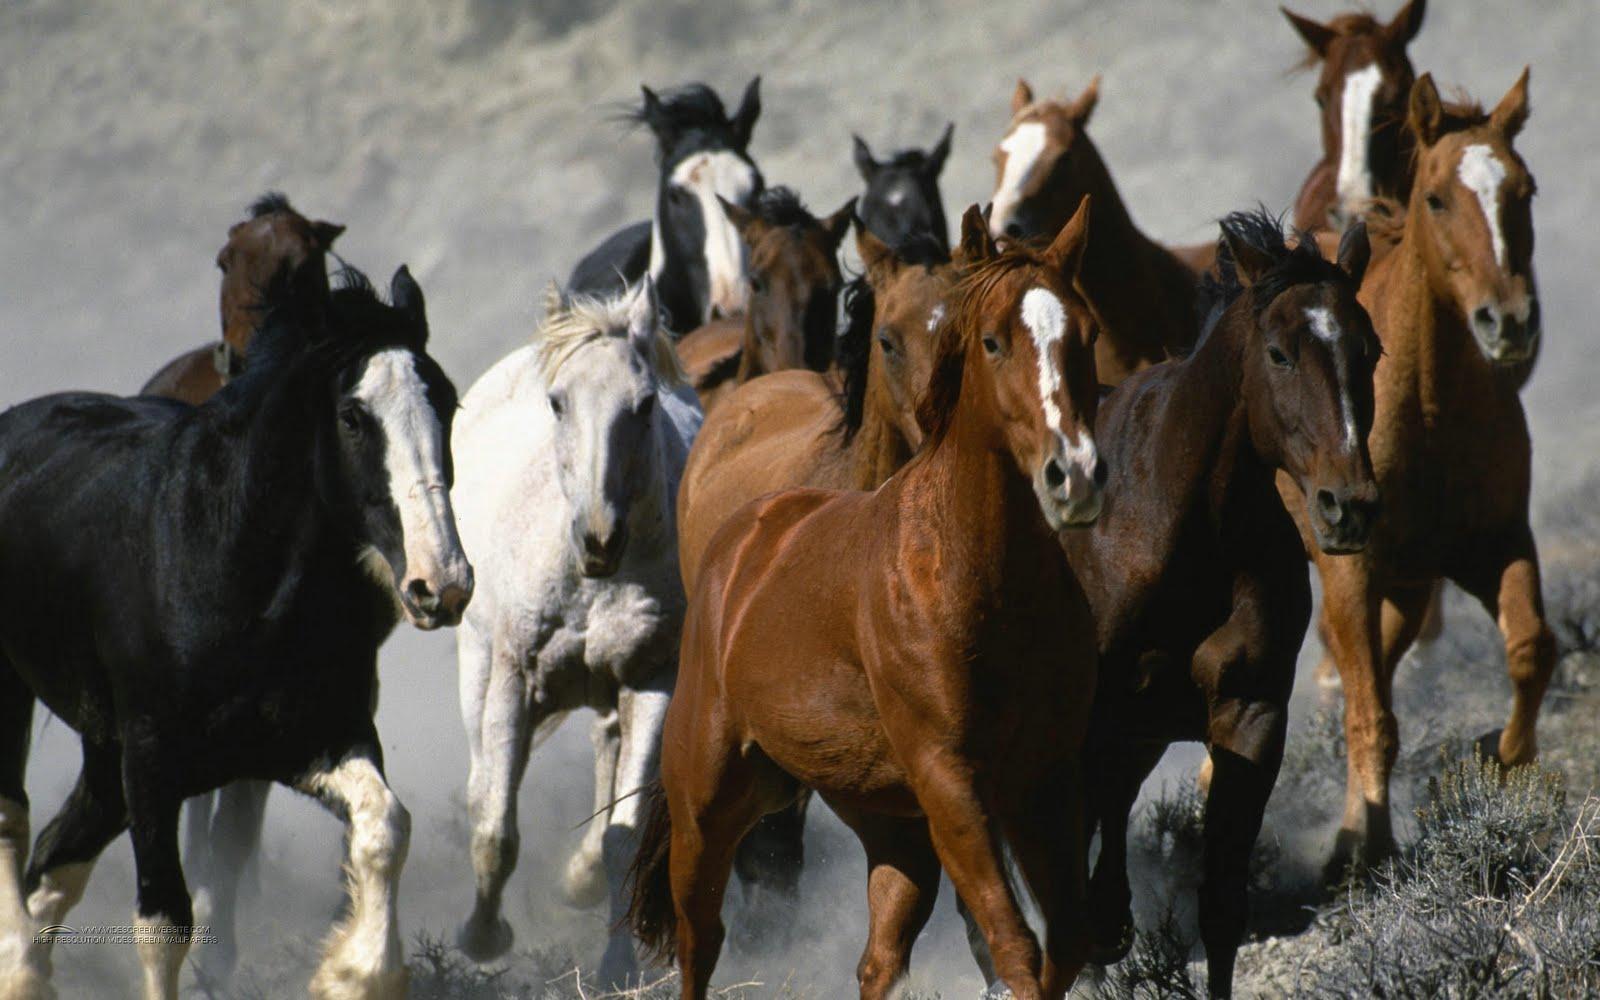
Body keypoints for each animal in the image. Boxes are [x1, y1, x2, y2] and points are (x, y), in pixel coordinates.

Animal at [0, 266, 471, 1000]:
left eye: (445, 403)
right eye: (352, 416)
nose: (441, 584)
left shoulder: (310, 738)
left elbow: (384, 825)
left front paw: (351, 971)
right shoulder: (153, 760)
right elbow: (164, 922)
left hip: (105, 751)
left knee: (57, 857)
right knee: (13, 821)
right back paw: (20, 965)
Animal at [450, 280, 701, 987]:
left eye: (643, 404)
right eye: (558, 402)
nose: (599, 538)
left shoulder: (652, 683)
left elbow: (625, 833)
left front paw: (616, 965)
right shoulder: (513, 677)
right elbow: (495, 828)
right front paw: (482, 937)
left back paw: (581, 878)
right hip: (476, 659)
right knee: (482, 781)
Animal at [964, 211, 1379, 999]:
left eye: (1370, 349)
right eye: (1279, 353)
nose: (1348, 505)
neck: (1177, 526)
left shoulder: (1249, 717)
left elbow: (1219, 906)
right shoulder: (1082, 728)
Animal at [1285, 70, 1550, 877]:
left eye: (1524, 189)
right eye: (1435, 197)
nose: (1509, 321)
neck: (1427, 413)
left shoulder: (1495, 544)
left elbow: (1531, 649)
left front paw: (1503, 760)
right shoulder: (1351, 570)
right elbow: (1371, 714)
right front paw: (1364, 849)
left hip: (1404, 588)